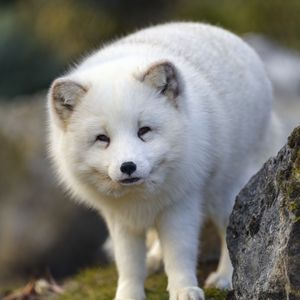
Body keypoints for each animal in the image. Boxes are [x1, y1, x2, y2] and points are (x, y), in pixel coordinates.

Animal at [48, 22, 282, 298]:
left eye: (144, 131)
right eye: (102, 138)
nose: (128, 167)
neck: (139, 198)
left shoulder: (181, 204)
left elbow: (180, 254)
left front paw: (184, 289)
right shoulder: (120, 218)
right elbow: (128, 263)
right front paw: (129, 293)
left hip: (225, 191)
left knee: (231, 231)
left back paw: (225, 277)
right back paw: (155, 259)